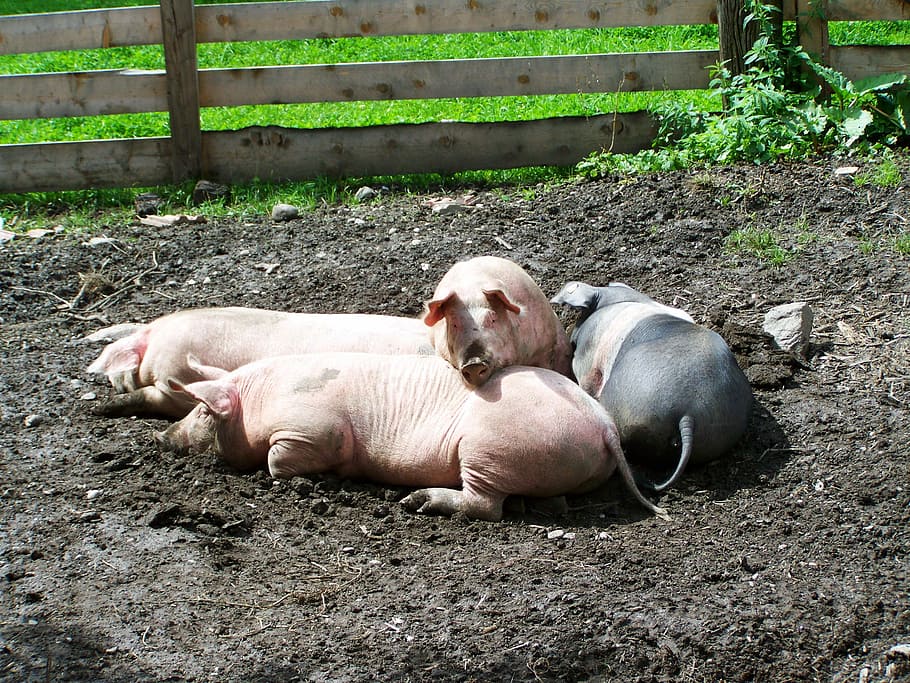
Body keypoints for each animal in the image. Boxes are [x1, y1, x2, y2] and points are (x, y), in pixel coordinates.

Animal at [154, 352, 668, 522]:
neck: (259, 399)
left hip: (488, 448)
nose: (162, 437)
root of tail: (603, 423)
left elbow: (277, 463)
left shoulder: (311, 428)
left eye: (201, 410)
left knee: (486, 507)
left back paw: (417, 503)